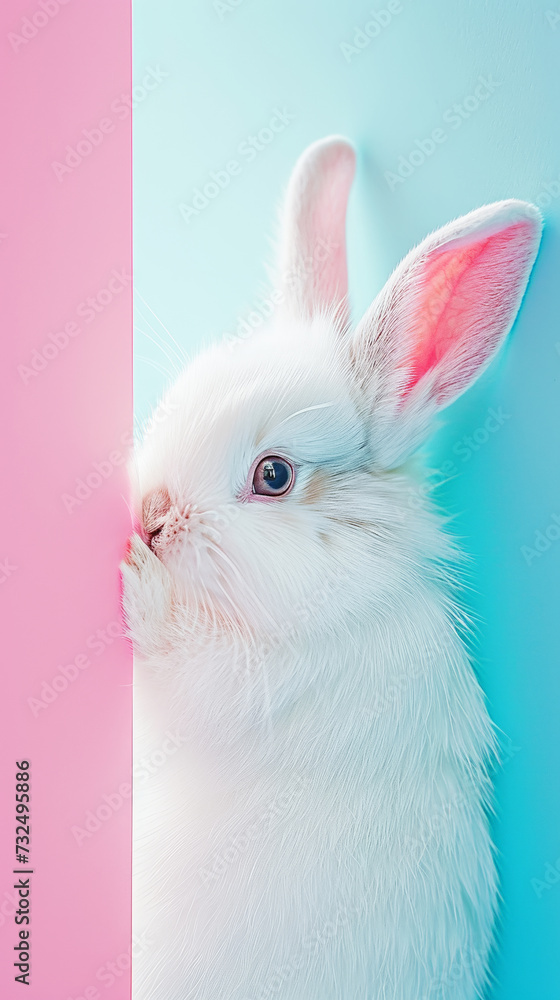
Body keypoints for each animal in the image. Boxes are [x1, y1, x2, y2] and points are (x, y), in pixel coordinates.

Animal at [121, 136, 542, 1000]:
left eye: (275, 476)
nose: (150, 513)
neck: (344, 576)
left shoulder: (248, 681)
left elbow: (179, 662)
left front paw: (140, 583)